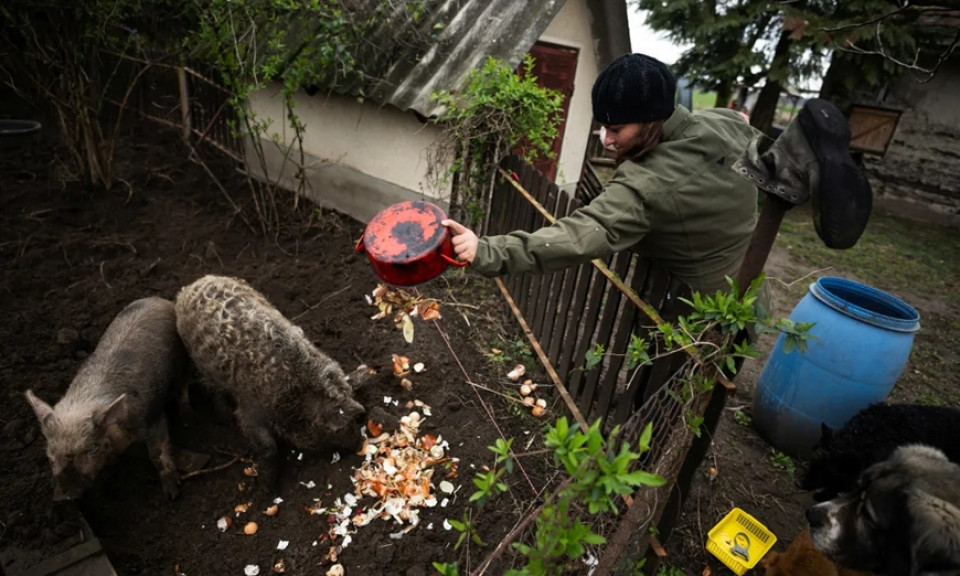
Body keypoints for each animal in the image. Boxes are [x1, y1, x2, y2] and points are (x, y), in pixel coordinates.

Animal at [24, 296, 187, 500]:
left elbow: (157, 453)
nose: (65, 496)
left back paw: (185, 416)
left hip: (180, 361)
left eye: (92, 448)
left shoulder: (152, 418)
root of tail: (158, 300)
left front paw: (173, 494)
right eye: (50, 455)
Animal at [172, 274, 368, 486]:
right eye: (335, 426)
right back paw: (223, 418)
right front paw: (266, 486)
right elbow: (268, 446)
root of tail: (193, 284)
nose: (359, 443)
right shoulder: (249, 413)